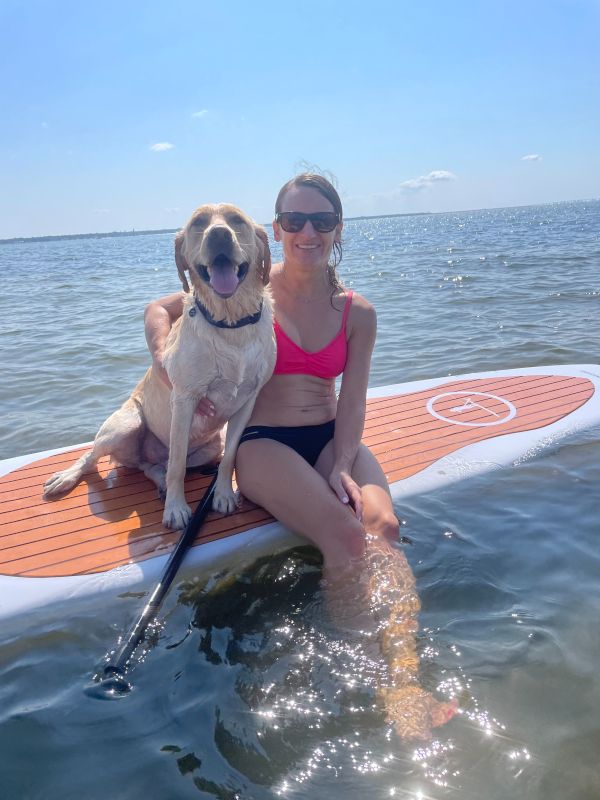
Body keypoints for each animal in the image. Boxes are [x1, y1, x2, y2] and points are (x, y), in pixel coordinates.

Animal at [44, 203, 276, 528]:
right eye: (198, 223)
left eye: (236, 220)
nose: (218, 235)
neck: (231, 323)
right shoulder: (185, 399)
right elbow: (176, 464)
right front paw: (176, 509)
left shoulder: (247, 401)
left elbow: (229, 457)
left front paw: (223, 494)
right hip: (126, 424)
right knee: (97, 456)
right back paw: (67, 477)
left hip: (208, 447)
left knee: (150, 466)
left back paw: (159, 479)